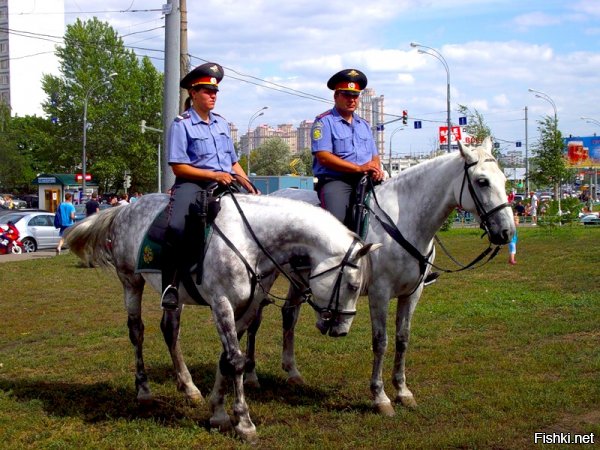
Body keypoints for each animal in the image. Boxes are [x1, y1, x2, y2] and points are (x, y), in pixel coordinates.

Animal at [63, 192, 378, 442]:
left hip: (173, 296)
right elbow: (236, 361)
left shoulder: (245, 307)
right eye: (353, 286)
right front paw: (244, 423)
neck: (248, 241)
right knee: (136, 331)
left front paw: (218, 412)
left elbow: (226, 360)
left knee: (170, 330)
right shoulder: (222, 304)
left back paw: (189, 388)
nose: (341, 328)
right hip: (131, 281)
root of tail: (125, 208)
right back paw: (144, 390)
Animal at [245, 137, 516, 414]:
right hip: (266, 278)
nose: (506, 231)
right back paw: (252, 376)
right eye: (482, 181)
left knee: (289, 315)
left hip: (299, 281)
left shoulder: (412, 293)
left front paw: (403, 391)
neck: (403, 222)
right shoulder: (380, 293)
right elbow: (381, 341)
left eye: (505, 179)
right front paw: (380, 397)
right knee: (254, 320)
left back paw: (293, 373)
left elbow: (402, 339)